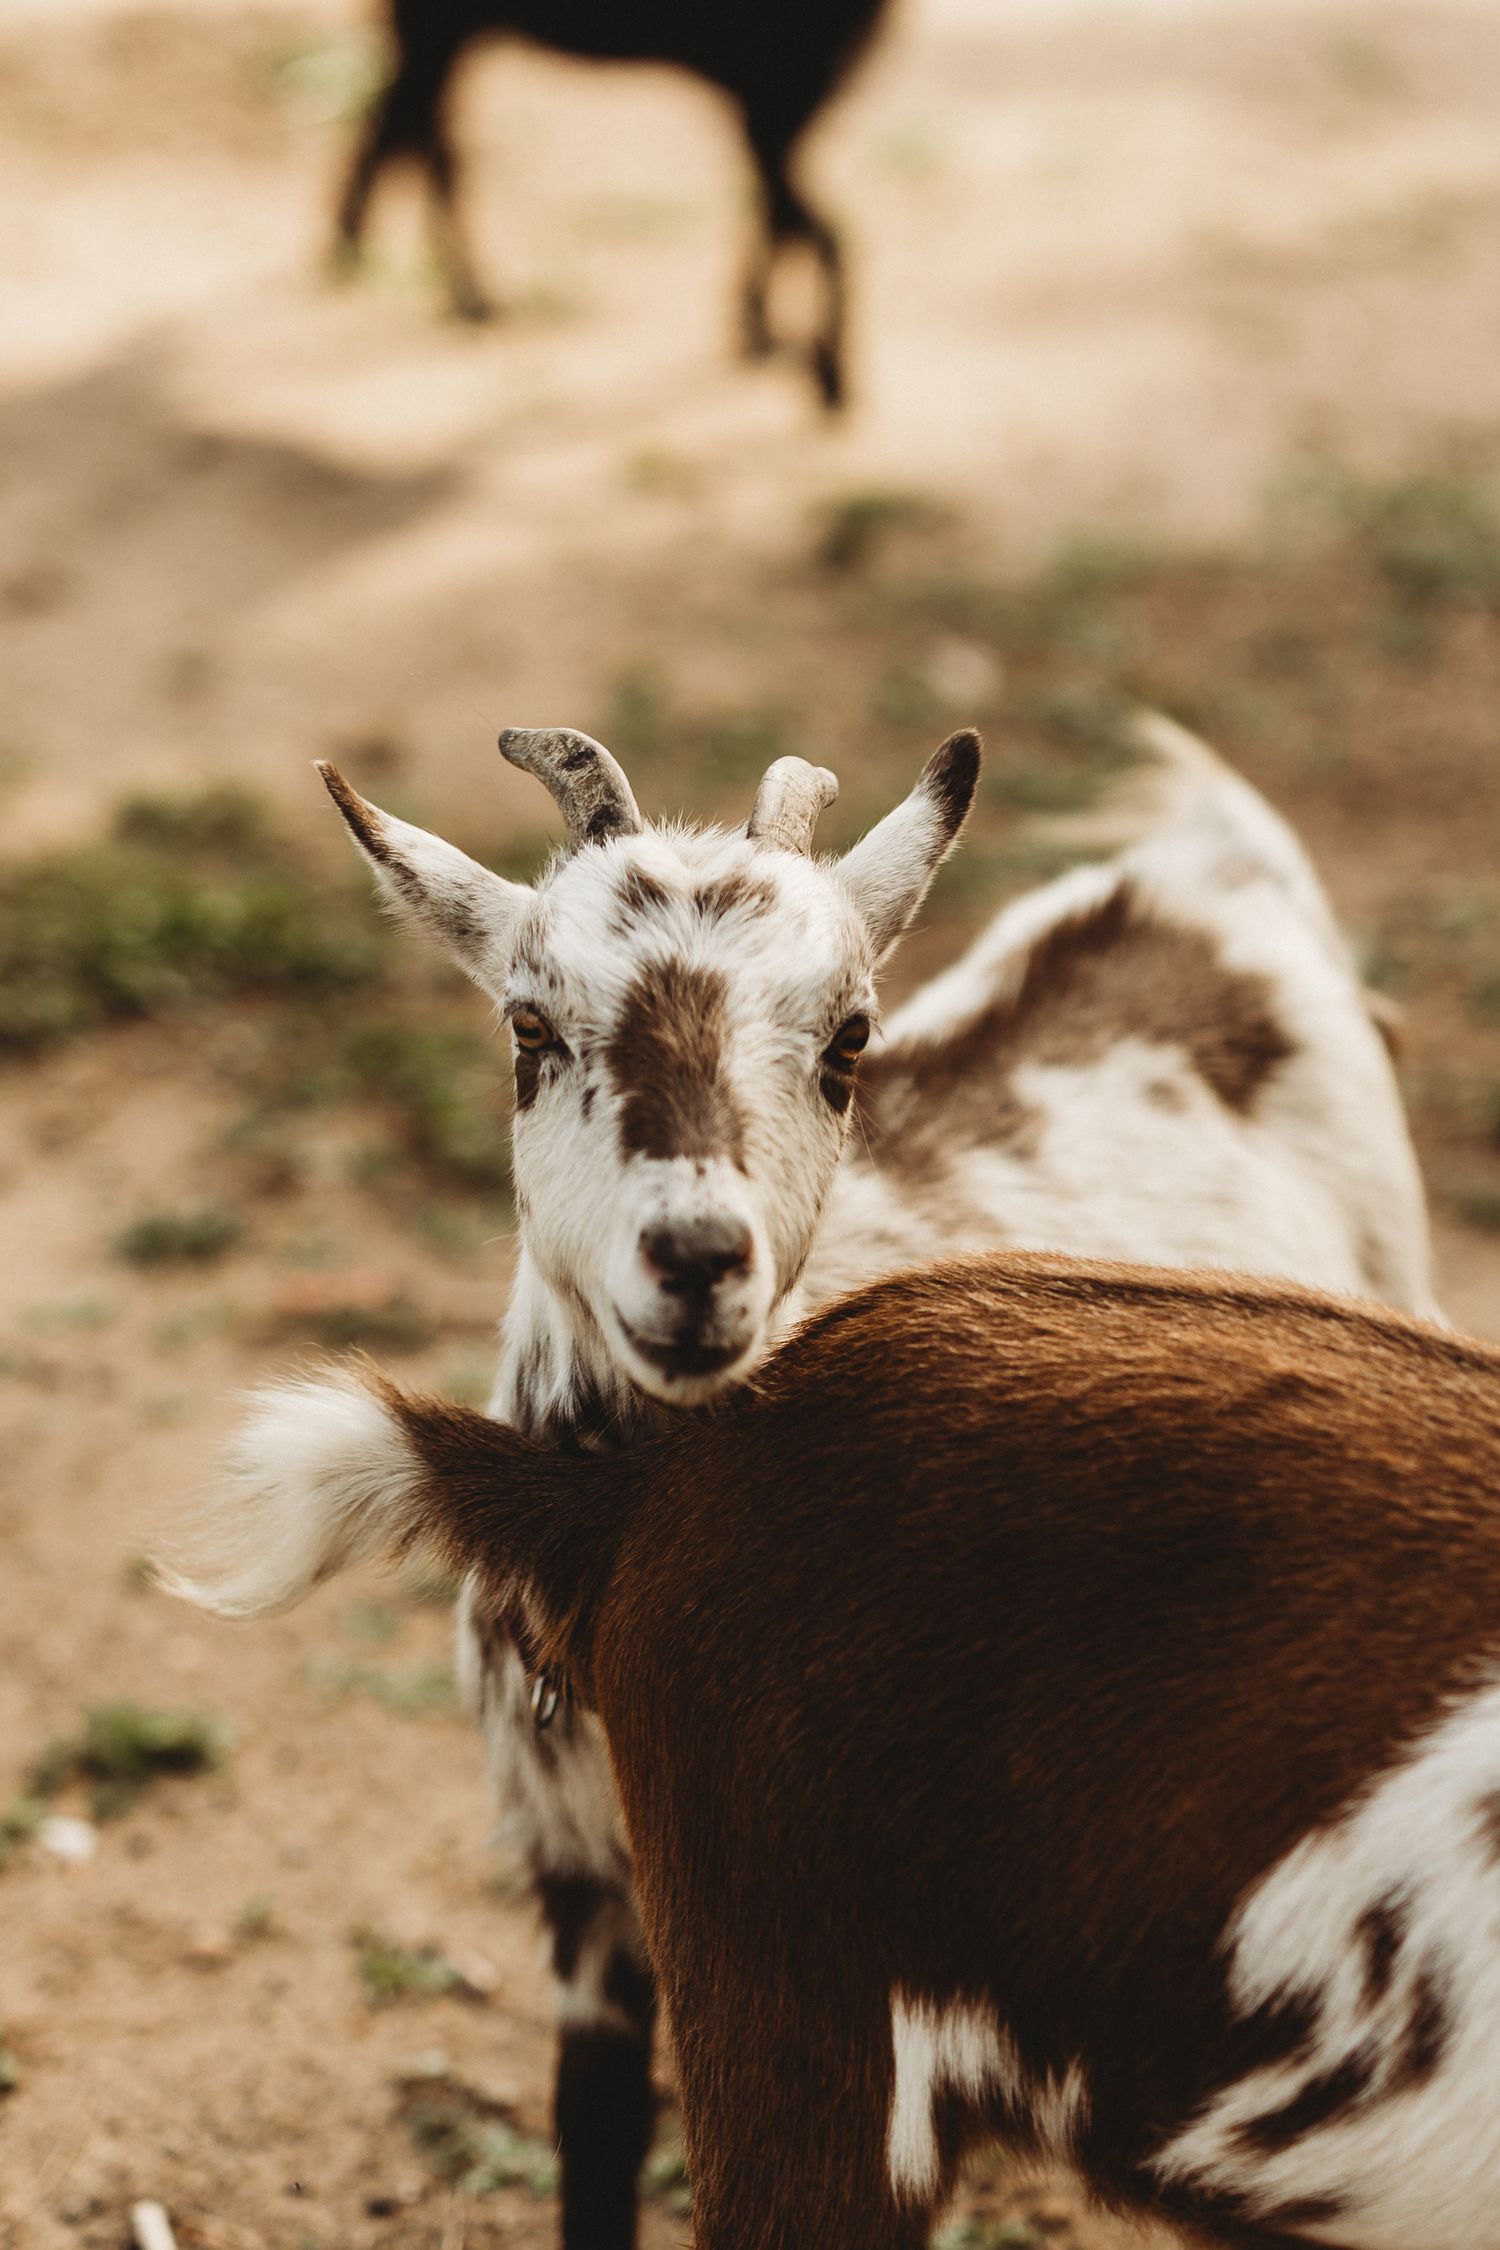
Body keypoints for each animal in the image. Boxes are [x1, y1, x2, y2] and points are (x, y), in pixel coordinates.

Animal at [314, 713, 1435, 2249]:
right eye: (529, 1028)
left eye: (850, 1038)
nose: (697, 1258)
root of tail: (1212, 871)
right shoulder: (584, 1890)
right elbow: (593, 2140)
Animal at [333, 0, 893, 408]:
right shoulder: (770, 104)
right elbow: (820, 227)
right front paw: (825, 373)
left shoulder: (773, 111)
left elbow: (776, 216)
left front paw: (759, 333)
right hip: (436, 35)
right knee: (419, 143)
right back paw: (457, 293)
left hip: (443, 39)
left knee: (403, 135)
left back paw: (369, 262)